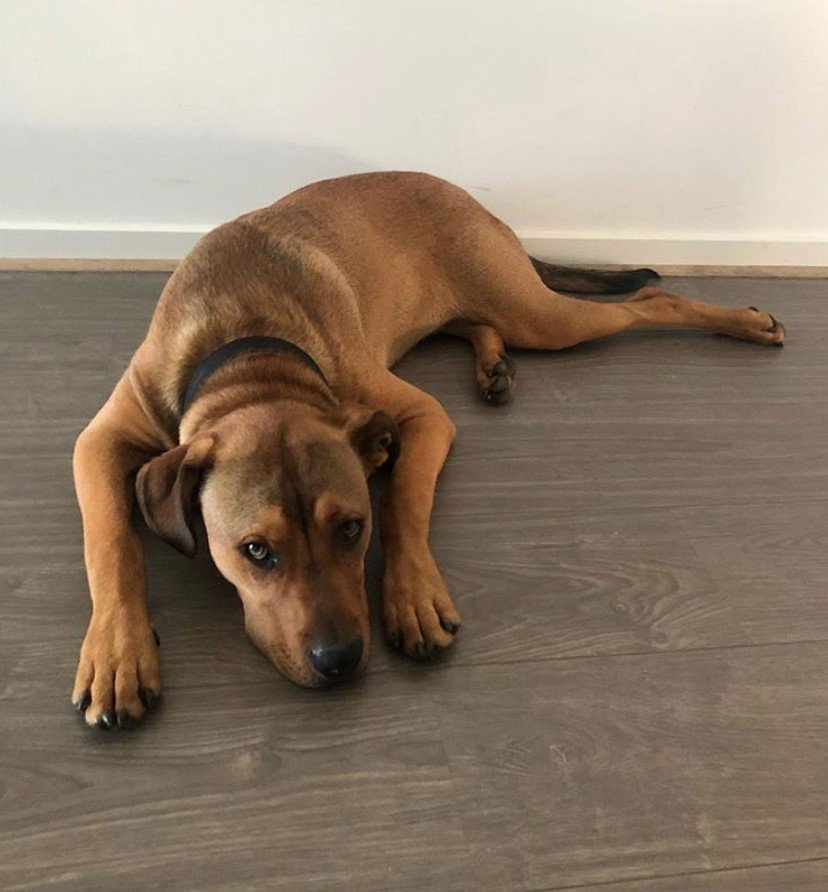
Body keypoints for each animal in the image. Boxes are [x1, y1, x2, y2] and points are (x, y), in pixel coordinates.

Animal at [69, 171, 784, 728]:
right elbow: (109, 541)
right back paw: (493, 367)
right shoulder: (98, 441)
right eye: (255, 551)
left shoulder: (418, 415)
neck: (250, 355)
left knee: (644, 298)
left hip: (539, 315)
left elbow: (406, 502)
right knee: (479, 322)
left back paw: (743, 322)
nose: (339, 661)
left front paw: (411, 595)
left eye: (352, 528)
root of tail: (465, 195)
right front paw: (117, 653)